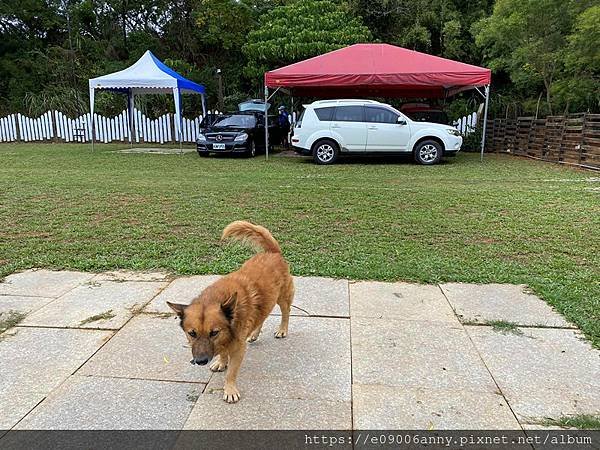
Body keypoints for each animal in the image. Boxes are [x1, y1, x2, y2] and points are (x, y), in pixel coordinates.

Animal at [166, 221, 292, 404]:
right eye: (192, 333)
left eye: (214, 333)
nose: (200, 361)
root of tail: (272, 253)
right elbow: (223, 354)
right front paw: (221, 361)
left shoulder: (238, 348)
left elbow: (231, 372)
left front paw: (230, 389)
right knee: (261, 317)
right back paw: (254, 333)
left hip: (282, 297)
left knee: (286, 311)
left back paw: (282, 329)